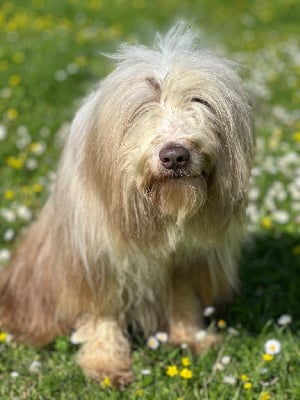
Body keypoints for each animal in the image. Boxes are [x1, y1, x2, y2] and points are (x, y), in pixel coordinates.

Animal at [0, 23, 253, 386]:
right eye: (142, 108)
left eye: (199, 101)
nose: (174, 155)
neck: (160, 213)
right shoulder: (95, 260)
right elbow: (102, 316)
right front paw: (107, 364)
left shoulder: (186, 260)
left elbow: (184, 300)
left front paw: (192, 337)